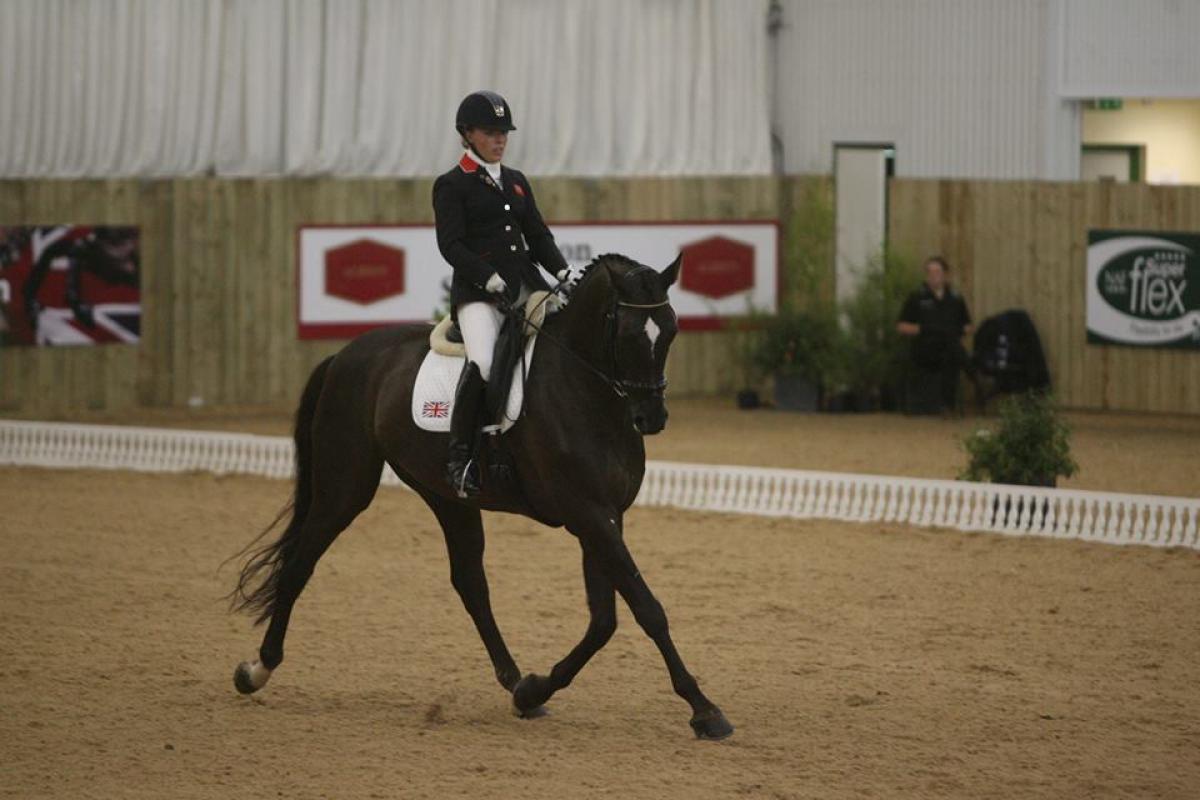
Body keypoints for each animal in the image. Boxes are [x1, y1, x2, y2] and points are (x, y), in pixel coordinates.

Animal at [225, 253, 729, 743]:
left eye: (670, 329)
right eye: (625, 333)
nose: (651, 418)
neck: (585, 390)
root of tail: (343, 355)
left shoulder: (605, 517)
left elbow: (604, 620)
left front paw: (535, 689)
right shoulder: (588, 515)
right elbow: (647, 609)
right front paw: (705, 711)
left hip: (448, 497)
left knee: (471, 584)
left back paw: (515, 683)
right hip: (345, 486)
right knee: (300, 564)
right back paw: (256, 670)